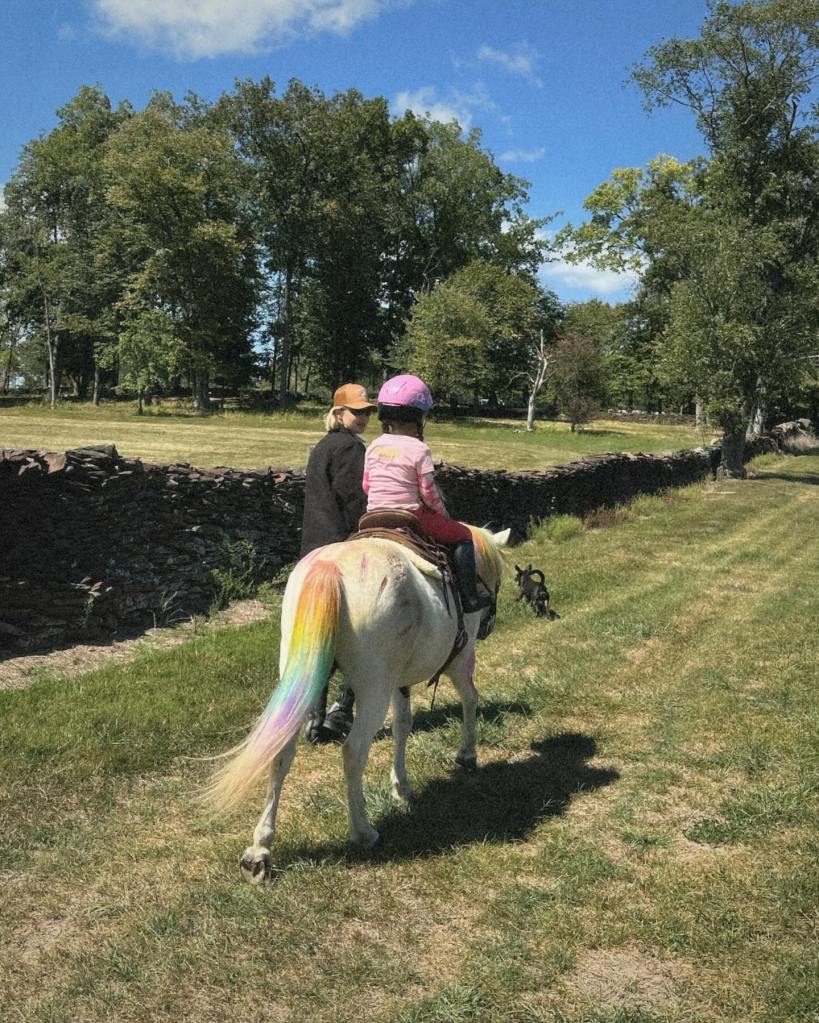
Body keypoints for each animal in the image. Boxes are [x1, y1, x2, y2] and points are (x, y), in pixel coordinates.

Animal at [207, 523, 507, 883]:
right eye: (498, 581)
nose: (488, 625)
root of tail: (331, 568)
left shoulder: (398, 682)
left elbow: (403, 725)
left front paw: (402, 786)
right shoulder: (459, 659)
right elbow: (469, 699)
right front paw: (467, 755)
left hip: (304, 678)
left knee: (280, 751)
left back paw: (259, 851)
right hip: (373, 688)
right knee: (353, 751)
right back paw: (363, 832)